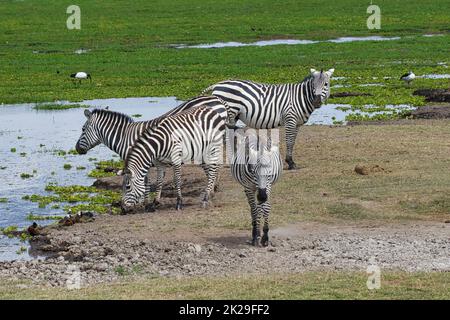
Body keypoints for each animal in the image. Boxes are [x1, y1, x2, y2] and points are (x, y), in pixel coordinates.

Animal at [204, 68, 334, 170]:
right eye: (313, 85)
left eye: (326, 84)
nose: (316, 101)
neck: (300, 97)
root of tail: (217, 84)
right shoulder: (290, 119)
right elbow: (289, 141)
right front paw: (290, 163)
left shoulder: (297, 123)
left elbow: (293, 141)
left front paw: (291, 161)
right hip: (227, 114)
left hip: (233, 117)